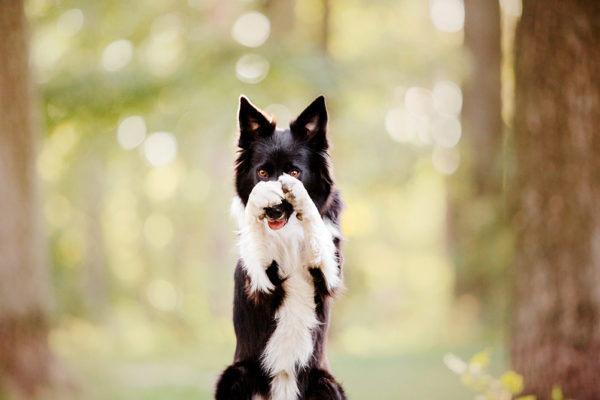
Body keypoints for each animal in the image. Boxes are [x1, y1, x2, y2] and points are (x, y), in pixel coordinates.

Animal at [216, 97, 346, 400]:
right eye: (263, 173)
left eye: (294, 172)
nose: (273, 211)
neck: (288, 233)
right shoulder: (261, 281)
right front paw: (260, 197)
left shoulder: (329, 273)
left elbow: (316, 226)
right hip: (236, 374)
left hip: (325, 383)